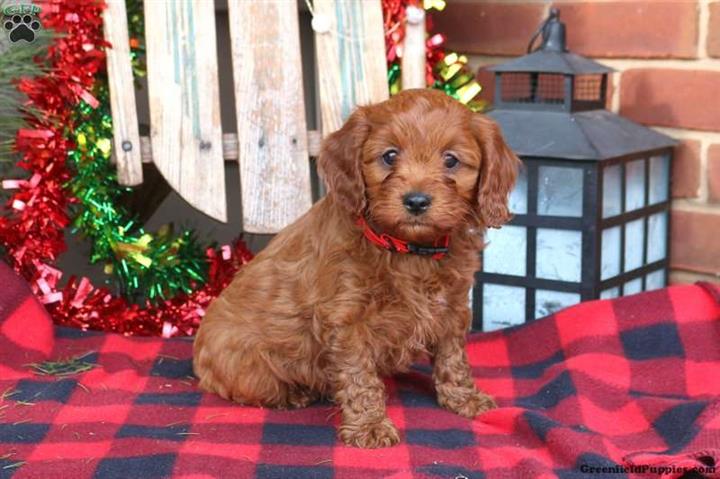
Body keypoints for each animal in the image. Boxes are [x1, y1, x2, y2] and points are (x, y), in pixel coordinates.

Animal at [194, 88, 520, 448]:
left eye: (451, 160)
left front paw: (464, 398)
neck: (407, 249)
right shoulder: (346, 319)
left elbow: (453, 357)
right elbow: (359, 376)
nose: (416, 201)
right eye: (389, 156)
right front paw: (370, 426)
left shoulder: (452, 307)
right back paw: (296, 393)